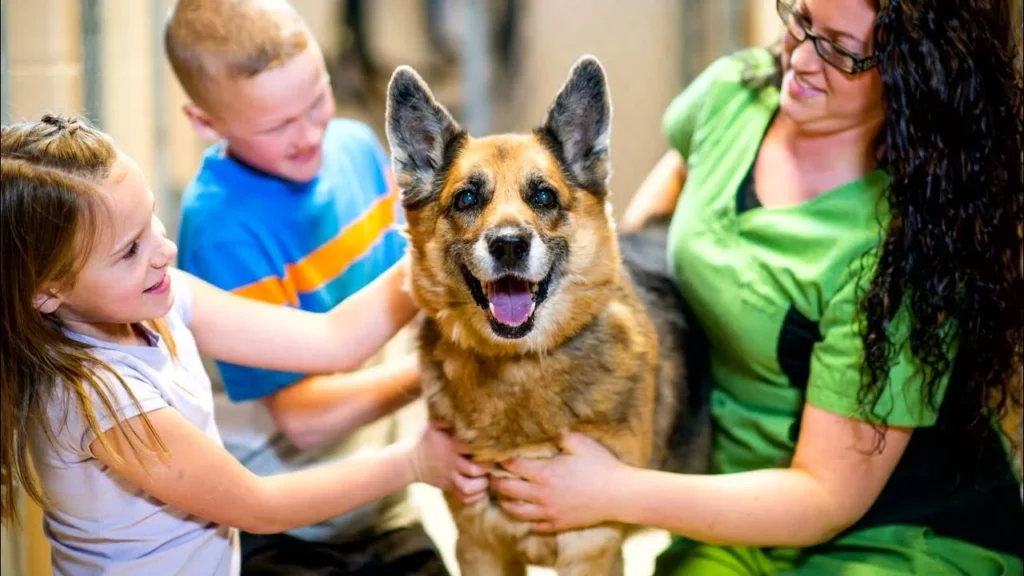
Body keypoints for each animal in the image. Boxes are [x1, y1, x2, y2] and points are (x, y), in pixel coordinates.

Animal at [385, 54, 712, 573]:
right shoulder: (479, 546)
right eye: (466, 198)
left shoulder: (589, 549)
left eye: (543, 197)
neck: (517, 368)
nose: (509, 245)